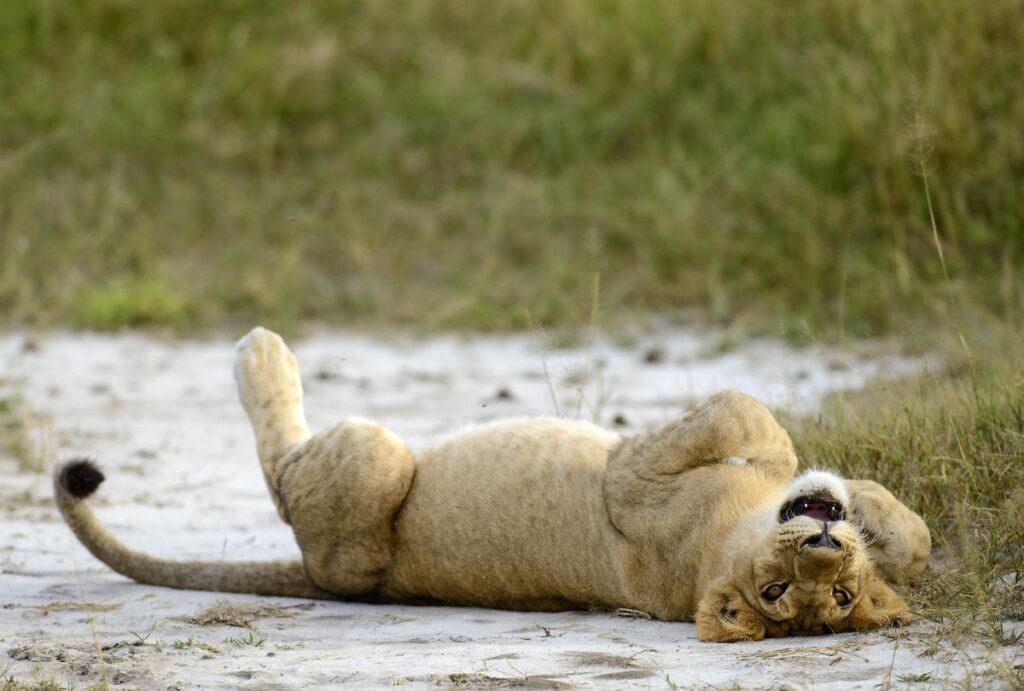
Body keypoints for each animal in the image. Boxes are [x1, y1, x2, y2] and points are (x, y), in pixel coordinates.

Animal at [54, 327, 931, 641]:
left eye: (818, 595)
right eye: (790, 589)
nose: (826, 545)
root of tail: (331, 580)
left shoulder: (628, 479)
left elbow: (751, 411)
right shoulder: (638, 477)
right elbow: (908, 536)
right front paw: (876, 510)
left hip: (374, 461)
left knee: (284, 473)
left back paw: (261, 353)